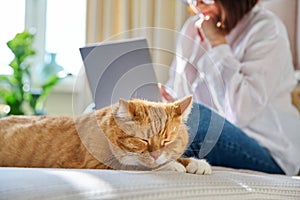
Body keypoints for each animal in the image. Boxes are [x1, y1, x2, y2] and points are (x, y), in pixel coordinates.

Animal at [0, 96, 211, 174]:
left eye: (167, 140)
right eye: (142, 140)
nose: (156, 154)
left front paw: (195, 163)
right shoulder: (100, 164)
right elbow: (139, 164)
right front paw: (173, 165)